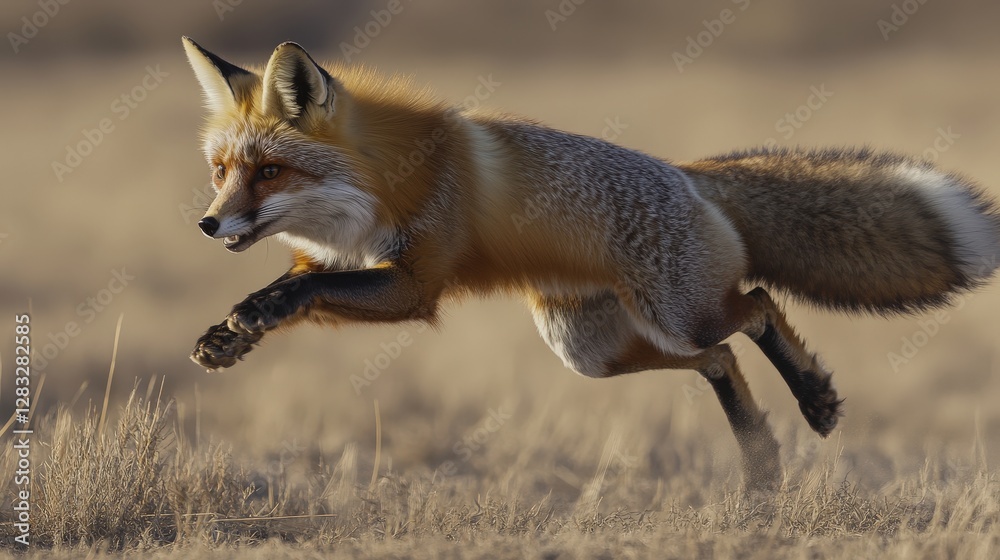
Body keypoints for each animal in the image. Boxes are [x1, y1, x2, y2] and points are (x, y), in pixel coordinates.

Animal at [182, 37, 1000, 490]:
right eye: (222, 170)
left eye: (269, 173)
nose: (208, 223)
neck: (379, 184)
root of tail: (690, 174)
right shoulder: (338, 264)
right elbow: (300, 287)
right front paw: (227, 336)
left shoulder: (415, 282)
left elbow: (306, 291)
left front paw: (250, 315)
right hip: (590, 353)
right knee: (720, 358)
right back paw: (763, 468)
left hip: (673, 314)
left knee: (759, 306)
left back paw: (816, 404)